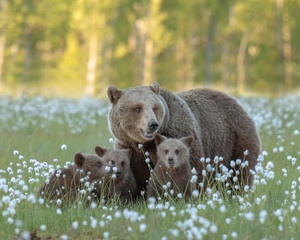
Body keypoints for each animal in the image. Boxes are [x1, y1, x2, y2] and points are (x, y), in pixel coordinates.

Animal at [107, 82, 260, 195]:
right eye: (138, 108)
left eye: (155, 107)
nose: (153, 124)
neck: (146, 143)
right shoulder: (130, 147)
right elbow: (135, 174)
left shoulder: (178, 134)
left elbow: (191, 167)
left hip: (236, 140)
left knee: (239, 174)